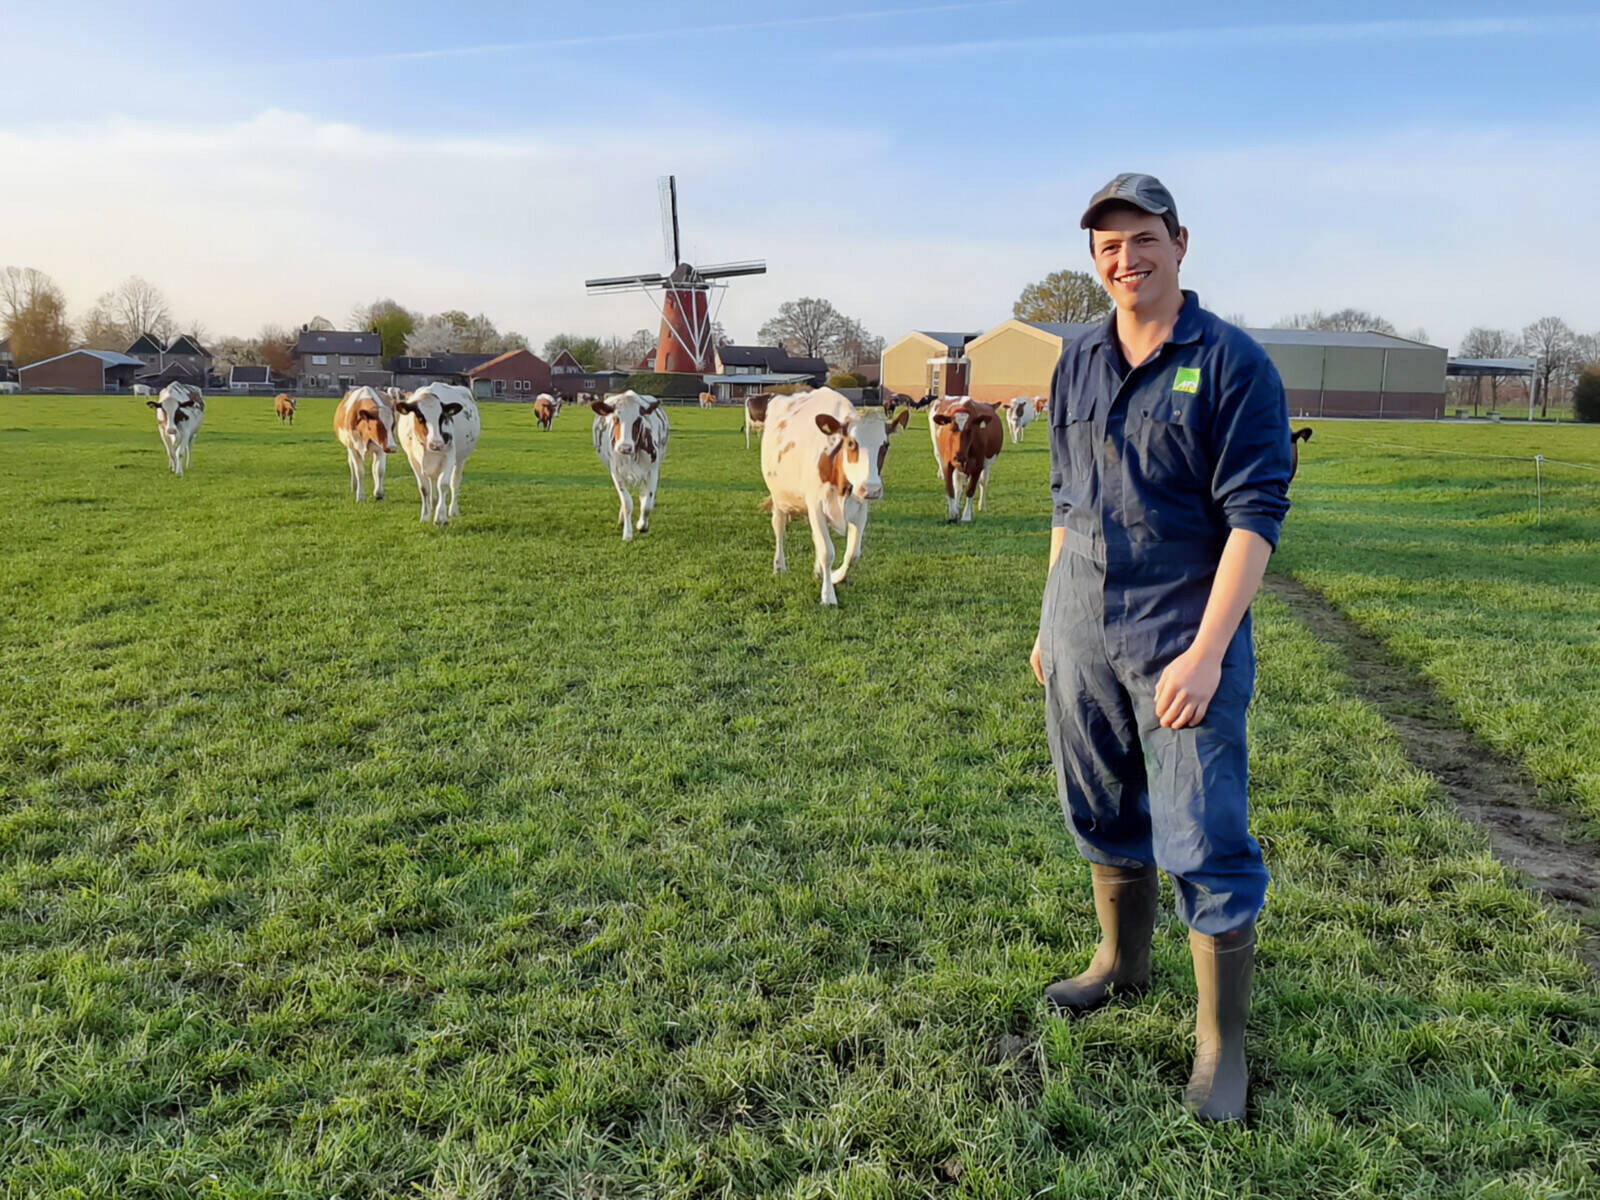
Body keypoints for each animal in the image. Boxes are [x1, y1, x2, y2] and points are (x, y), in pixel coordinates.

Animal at [395, 380, 480, 521]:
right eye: (420, 416)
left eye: (443, 417)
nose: (437, 444)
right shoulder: (413, 460)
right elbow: (424, 488)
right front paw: (425, 516)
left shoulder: (449, 456)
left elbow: (444, 484)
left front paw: (441, 517)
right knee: (433, 483)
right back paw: (433, 505)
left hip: (461, 459)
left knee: (454, 483)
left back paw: (453, 510)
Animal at [595, 392, 668, 544]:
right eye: (616, 418)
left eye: (638, 420)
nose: (625, 447)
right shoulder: (616, 473)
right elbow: (627, 502)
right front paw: (627, 533)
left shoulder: (652, 472)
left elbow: (647, 504)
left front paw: (642, 525)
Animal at [755, 390, 908, 604]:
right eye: (851, 443)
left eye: (885, 445)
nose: (872, 489)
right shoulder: (816, 507)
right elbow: (828, 552)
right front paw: (828, 596)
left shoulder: (860, 510)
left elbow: (853, 554)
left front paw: (834, 576)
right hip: (778, 497)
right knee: (779, 528)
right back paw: (779, 565)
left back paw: (818, 571)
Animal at [928, 396, 998, 524]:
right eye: (951, 428)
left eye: (970, 430)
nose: (959, 457)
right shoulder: (946, 464)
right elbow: (951, 489)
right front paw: (953, 514)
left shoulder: (977, 467)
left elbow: (971, 490)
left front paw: (966, 516)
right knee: (959, 486)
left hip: (987, 465)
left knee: (983, 482)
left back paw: (982, 506)